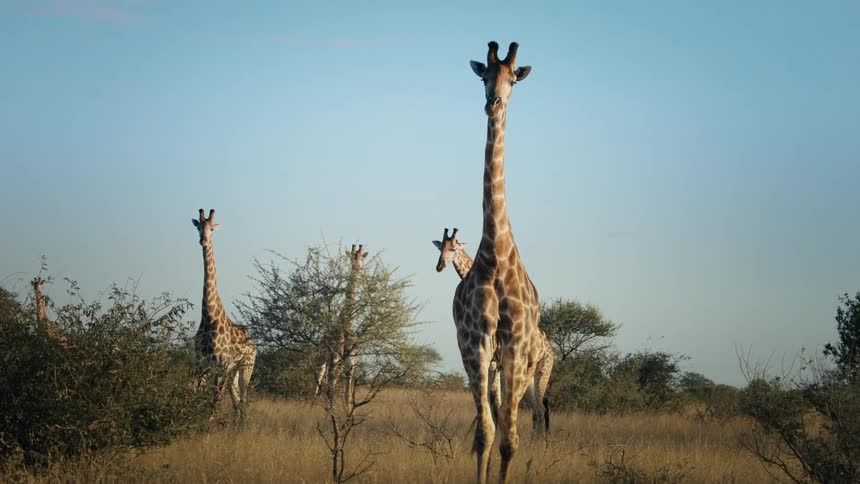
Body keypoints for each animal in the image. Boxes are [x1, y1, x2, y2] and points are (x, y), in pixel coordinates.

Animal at [191, 209, 256, 420]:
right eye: (198, 227)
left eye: (212, 228)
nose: (203, 240)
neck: (209, 315)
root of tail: (253, 341)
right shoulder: (200, 363)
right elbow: (198, 394)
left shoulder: (222, 363)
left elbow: (215, 399)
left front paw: (209, 424)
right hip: (233, 371)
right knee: (235, 398)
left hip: (246, 366)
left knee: (243, 397)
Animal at [434, 228, 554, 434]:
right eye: (440, 248)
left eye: (453, 249)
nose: (439, 266)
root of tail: (552, 350)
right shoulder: (494, 363)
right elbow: (493, 400)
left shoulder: (495, 363)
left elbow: (495, 400)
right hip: (529, 376)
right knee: (536, 408)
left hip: (542, 371)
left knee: (539, 407)